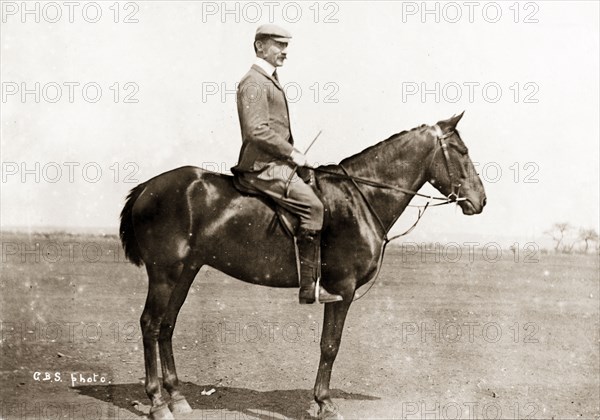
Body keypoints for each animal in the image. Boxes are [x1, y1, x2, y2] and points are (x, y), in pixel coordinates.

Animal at [118, 113, 488, 418]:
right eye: (462, 151)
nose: (480, 200)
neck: (359, 197)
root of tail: (147, 187)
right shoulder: (342, 290)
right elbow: (330, 345)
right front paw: (324, 403)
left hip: (187, 270)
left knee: (166, 326)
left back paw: (177, 398)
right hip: (164, 273)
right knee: (150, 324)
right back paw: (157, 402)